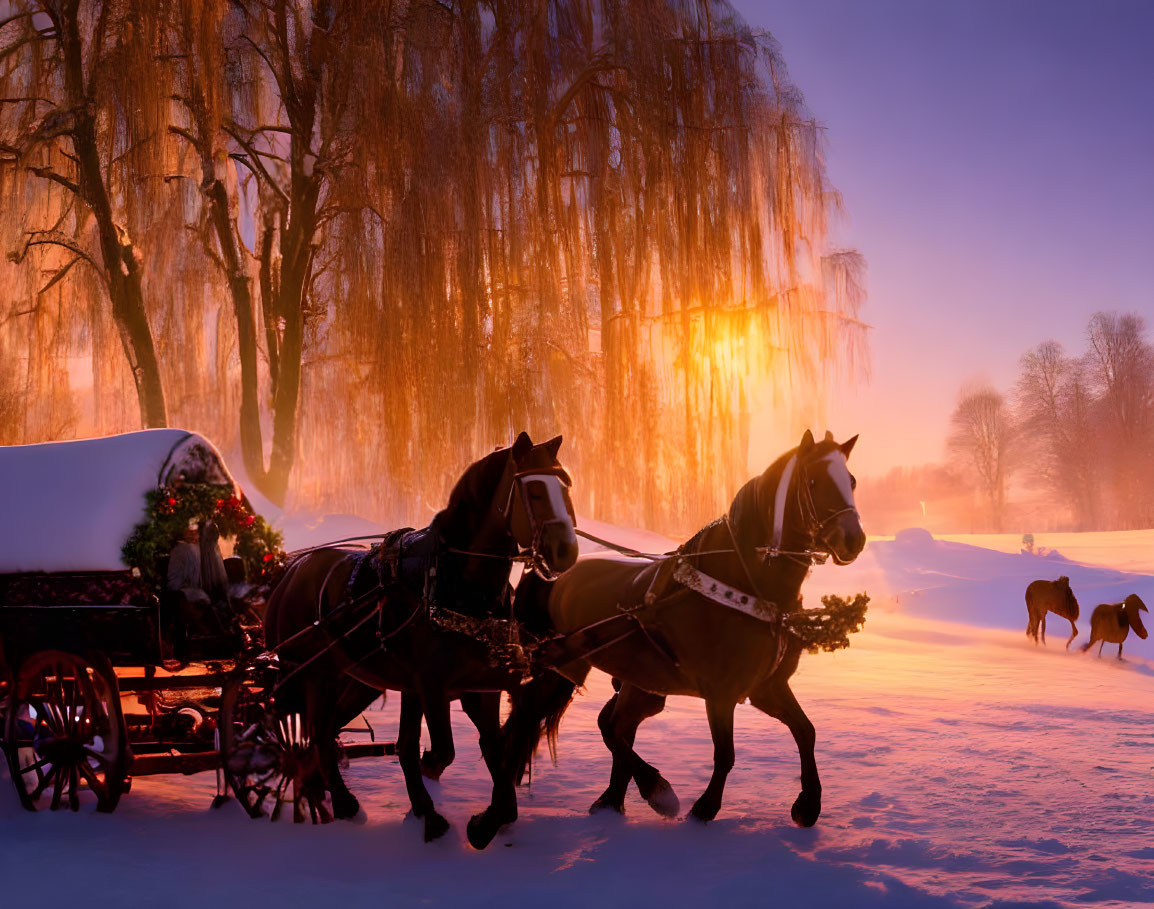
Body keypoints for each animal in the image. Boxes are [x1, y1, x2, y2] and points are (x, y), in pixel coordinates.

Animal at [257, 433, 577, 844]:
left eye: (565, 486)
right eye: (534, 490)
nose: (566, 550)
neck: (453, 582)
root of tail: (291, 568)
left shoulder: (479, 688)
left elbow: (488, 751)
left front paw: (484, 820)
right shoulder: (431, 687)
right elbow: (438, 751)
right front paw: (433, 806)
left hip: (360, 681)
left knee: (325, 733)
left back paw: (322, 786)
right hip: (314, 675)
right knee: (320, 732)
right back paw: (342, 801)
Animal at [523, 429, 867, 825]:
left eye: (851, 481)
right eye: (813, 481)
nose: (854, 539)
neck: (749, 586)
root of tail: (556, 575)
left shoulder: (766, 687)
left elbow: (805, 731)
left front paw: (808, 804)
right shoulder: (721, 693)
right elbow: (726, 753)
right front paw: (705, 807)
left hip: (641, 684)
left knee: (615, 726)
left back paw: (614, 799)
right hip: (563, 669)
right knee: (595, 726)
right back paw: (653, 791)